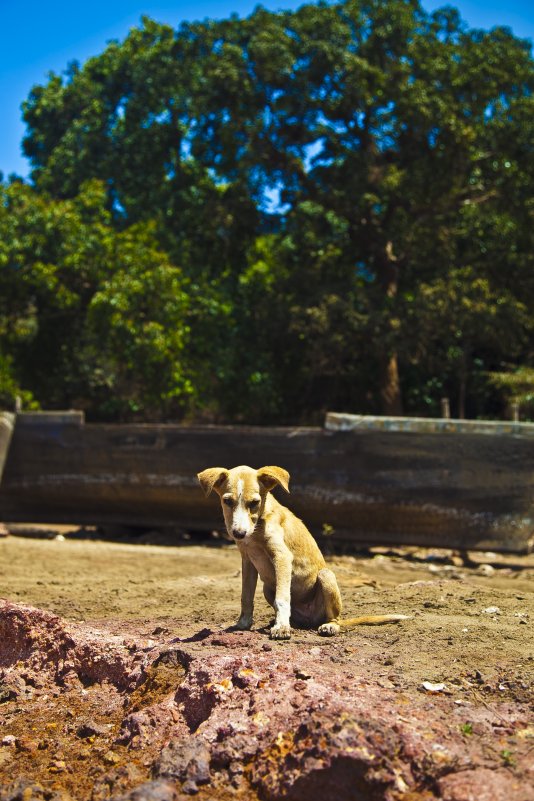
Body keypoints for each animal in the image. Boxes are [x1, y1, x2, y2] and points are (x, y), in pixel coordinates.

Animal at [199, 462, 408, 636]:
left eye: (254, 503)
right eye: (227, 501)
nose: (239, 533)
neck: (258, 525)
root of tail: (311, 621)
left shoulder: (282, 556)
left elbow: (282, 598)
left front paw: (281, 628)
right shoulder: (248, 560)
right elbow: (246, 596)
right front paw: (243, 624)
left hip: (325, 576)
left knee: (334, 617)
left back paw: (327, 626)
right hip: (268, 588)